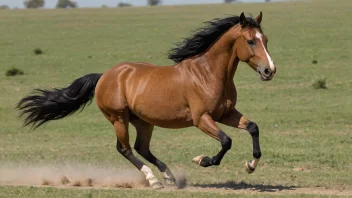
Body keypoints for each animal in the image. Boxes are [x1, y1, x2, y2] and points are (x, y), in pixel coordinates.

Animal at [17, 12, 276, 189]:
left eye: (265, 39)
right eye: (250, 41)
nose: (269, 71)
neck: (208, 73)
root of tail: (104, 76)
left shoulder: (226, 114)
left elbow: (253, 128)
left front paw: (250, 165)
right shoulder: (202, 118)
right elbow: (226, 141)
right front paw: (203, 160)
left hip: (143, 121)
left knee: (142, 148)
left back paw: (169, 177)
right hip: (119, 118)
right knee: (125, 149)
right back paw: (154, 180)